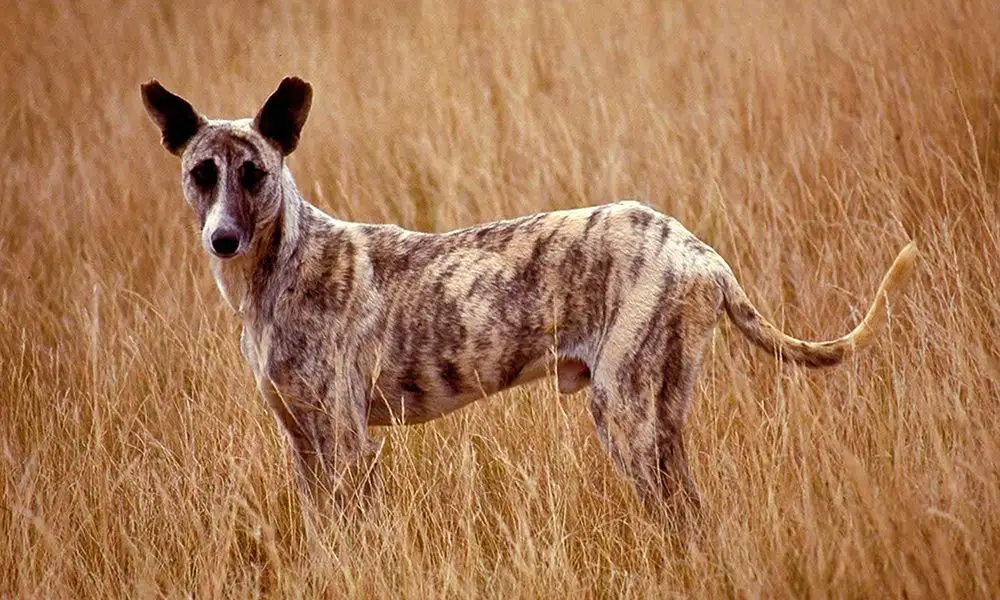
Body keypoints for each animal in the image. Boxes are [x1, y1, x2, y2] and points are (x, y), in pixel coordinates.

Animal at [141, 77, 920, 512]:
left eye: (254, 174)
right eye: (203, 173)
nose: (222, 240)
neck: (278, 270)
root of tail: (701, 251)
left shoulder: (348, 440)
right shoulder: (302, 446)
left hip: (624, 417)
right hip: (659, 424)